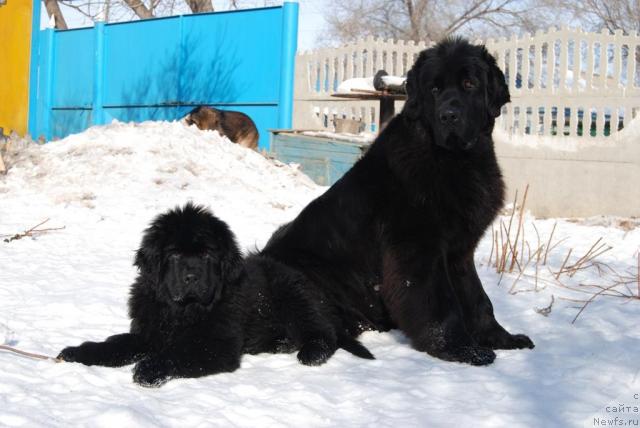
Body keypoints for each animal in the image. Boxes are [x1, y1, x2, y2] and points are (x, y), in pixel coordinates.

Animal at [58, 204, 376, 388]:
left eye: (207, 255)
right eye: (174, 254)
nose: (192, 277)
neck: (182, 311)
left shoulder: (216, 344)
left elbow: (179, 353)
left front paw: (150, 367)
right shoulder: (149, 333)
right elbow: (116, 344)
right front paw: (79, 352)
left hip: (295, 297)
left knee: (323, 332)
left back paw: (309, 351)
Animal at [260, 38, 536, 364]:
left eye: (469, 84)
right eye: (434, 89)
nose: (448, 116)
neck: (454, 160)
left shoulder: (460, 250)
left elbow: (477, 298)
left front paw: (502, 339)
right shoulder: (417, 248)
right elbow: (440, 302)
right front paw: (461, 348)